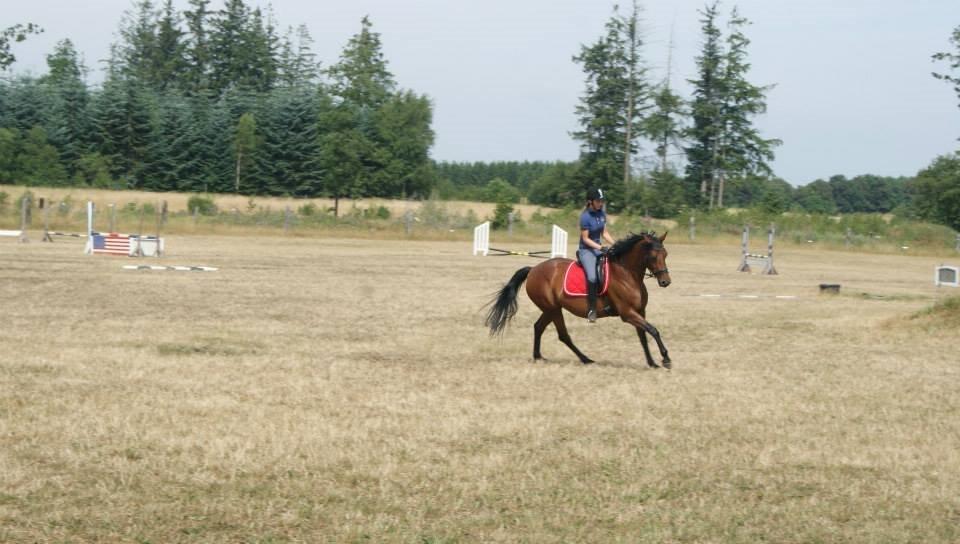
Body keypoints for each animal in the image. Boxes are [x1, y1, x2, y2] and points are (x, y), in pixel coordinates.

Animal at [484, 232, 672, 368]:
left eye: (665, 254)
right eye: (653, 256)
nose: (665, 282)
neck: (627, 274)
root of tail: (533, 269)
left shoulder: (639, 312)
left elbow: (643, 336)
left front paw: (652, 363)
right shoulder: (628, 314)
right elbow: (653, 330)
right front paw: (665, 359)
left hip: (550, 309)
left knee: (538, 327)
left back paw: (538, 356)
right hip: (553, 308)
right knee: (563, 335)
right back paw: (586, 359)